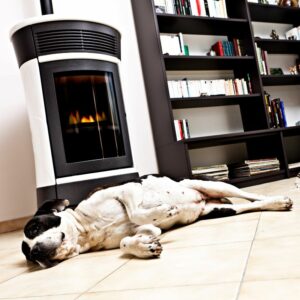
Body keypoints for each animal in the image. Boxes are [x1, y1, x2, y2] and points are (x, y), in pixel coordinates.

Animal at [22, 175, 292, 268]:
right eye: (28, 257)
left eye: (34, 227)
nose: (35, 253)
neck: (86, 230)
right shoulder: (142, 229)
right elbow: (130, 239)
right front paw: (144, 246)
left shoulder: (127, 188)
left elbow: (134, 211)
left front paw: (167, 210)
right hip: (219, 210)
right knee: (250, 205)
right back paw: (276, 204)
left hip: (211, 184)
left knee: (253, 196)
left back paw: (278, 197)